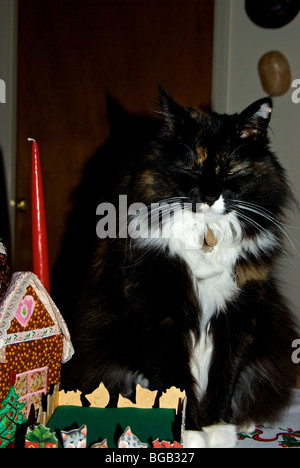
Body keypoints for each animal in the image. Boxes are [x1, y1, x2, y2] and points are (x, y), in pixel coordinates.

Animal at [62, 86, 298, 448]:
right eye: (191, 165)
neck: (205, 236)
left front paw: (217, 427)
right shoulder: (160, 313)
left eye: (231, 169)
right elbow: (175, 380)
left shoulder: (238, 317)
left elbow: (224, 377)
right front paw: (189, 433)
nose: (210, 196)